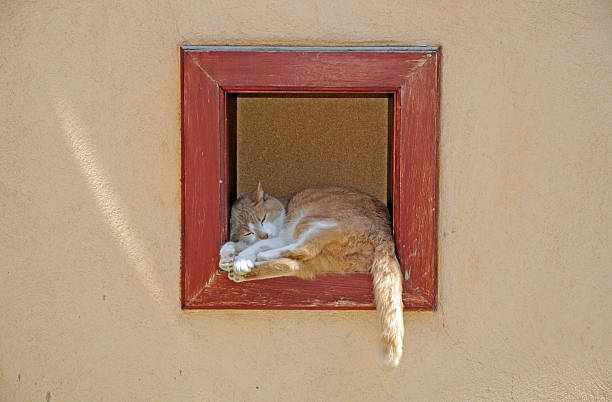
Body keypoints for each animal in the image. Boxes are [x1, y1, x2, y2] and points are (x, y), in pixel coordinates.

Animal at [218, 182, 404, 368]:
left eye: (263, 218)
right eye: (248, 232)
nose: (263, 234)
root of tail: (386, 234)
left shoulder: (282, 237)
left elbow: (255, 246)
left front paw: (242, 259)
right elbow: (239, 244)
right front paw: (228, 255)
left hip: (311, 223)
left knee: (303, 249)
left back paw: (262, 257)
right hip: (322, 257)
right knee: (292, 263)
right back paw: (244, 271)